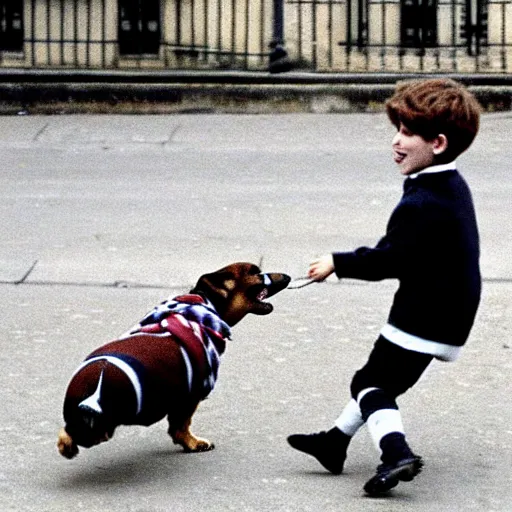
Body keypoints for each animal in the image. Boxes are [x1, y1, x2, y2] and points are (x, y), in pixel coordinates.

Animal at [58, 262, 290, 458]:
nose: (288, 276)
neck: (204, 305)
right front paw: (193, 443)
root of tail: (94, 389)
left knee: (65, 434)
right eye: (256, 272)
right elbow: (180, 427)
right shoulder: (190, 395)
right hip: (102, 429)